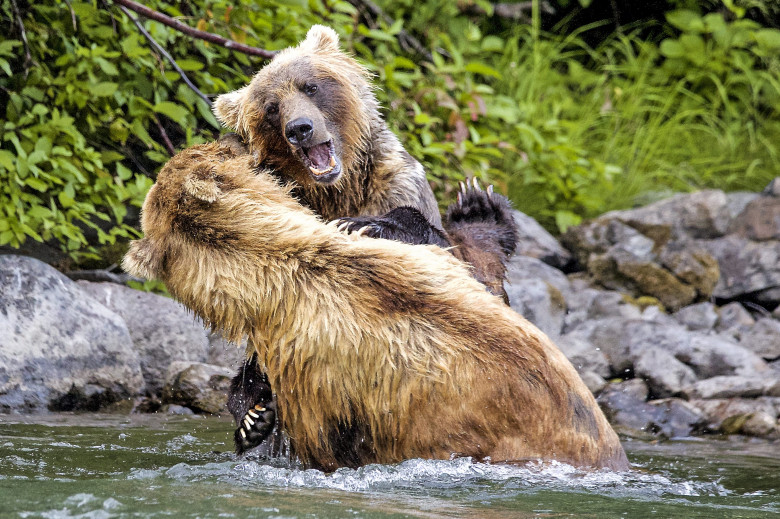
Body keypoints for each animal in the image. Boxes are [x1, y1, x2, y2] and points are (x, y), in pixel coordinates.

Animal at [210, 25, 520, 456]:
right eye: (271, 107)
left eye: (310, 86)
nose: (300, 128)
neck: (340, 190)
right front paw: (253, 414)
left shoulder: (397, 185)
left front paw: (366, 226)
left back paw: (479, 206)